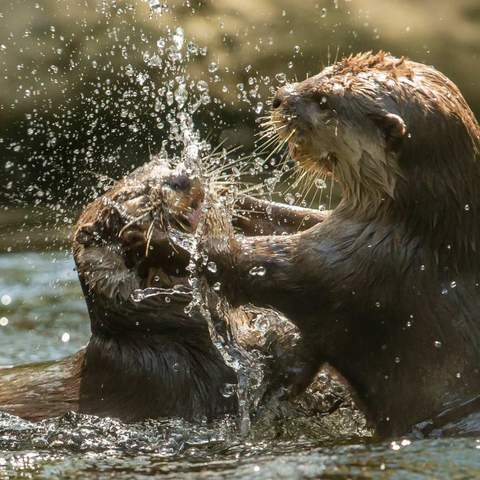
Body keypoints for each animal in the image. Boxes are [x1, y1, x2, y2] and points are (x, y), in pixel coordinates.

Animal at [198, 52, 480, 438]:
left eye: (324, 102)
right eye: (323, 71)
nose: (279, 98)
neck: (422, 231)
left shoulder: (356, 266)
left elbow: (252, 263)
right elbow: (293, 217)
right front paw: (224, 194)